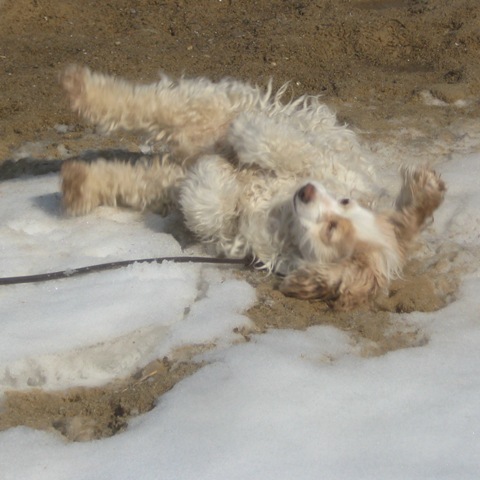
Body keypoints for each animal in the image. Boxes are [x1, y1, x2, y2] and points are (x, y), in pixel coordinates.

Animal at [60, 65, 445, 310]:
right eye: (346, 201)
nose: (307, 192)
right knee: (150, 103)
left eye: (331, 230)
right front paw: (244, 137)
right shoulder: (314, 156)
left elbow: (209, 204)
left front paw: (214, 178)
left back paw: (78, 182)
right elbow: (273, 141)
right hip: (208, 110)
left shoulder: (241, 234)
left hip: (173, 165)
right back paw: (80, 87)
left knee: (140, 175)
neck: (283, 213)